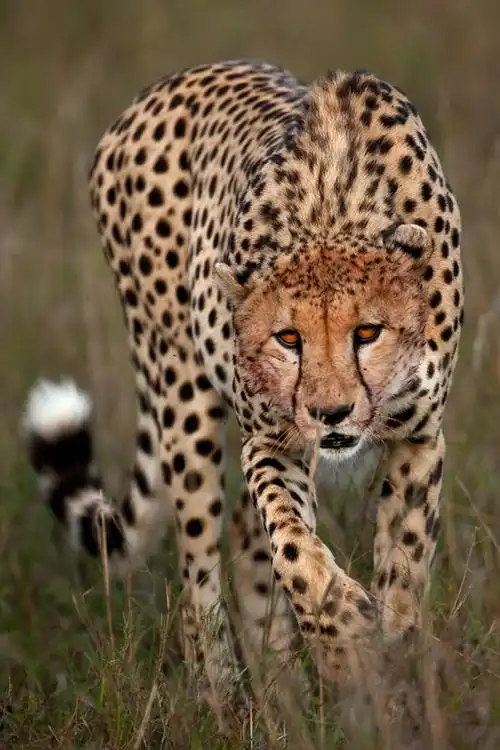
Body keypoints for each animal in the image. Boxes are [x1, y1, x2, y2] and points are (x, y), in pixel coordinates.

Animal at [22, 60, 463, 695]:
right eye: (288, 339)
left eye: (367, 332)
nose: (331, 414)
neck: (333, 210)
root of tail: (168, 83)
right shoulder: (272, 441)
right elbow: (292, 545)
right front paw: (344, 639)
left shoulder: (419, 438)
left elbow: (402, 569)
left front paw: (397, 668)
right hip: (182, 398)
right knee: (199, 572)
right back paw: (223, 693)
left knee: (239, 534)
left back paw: (279, 684)